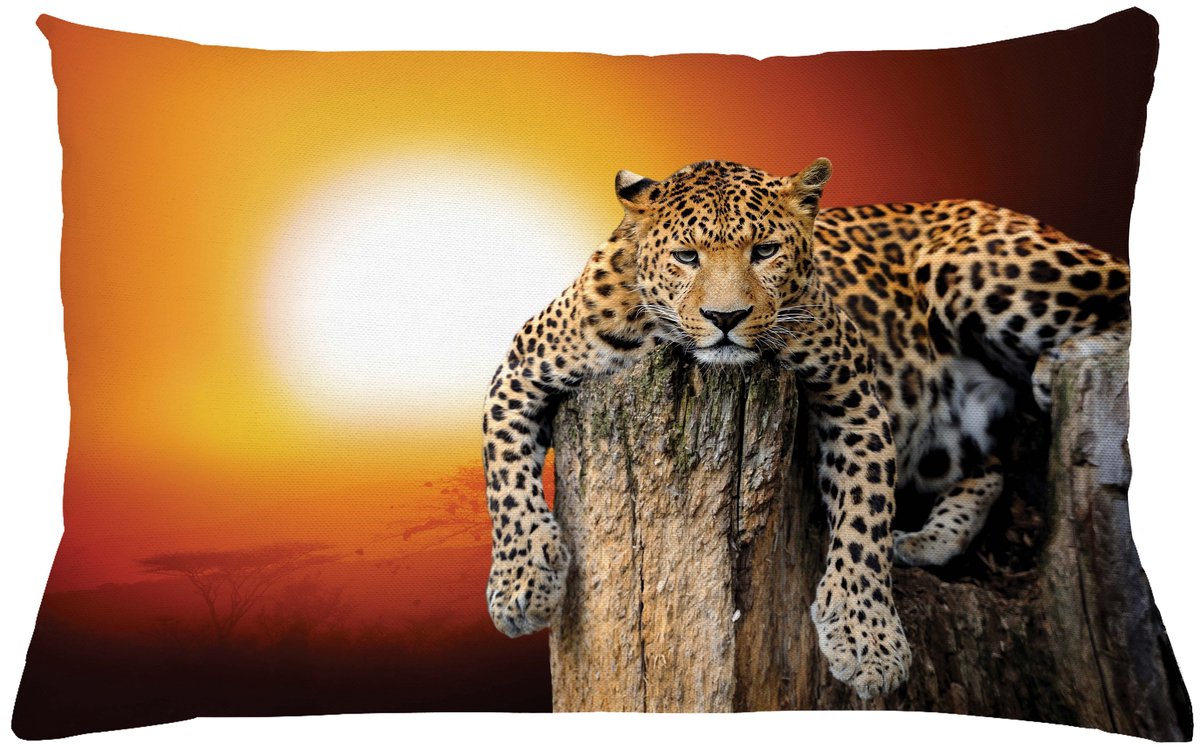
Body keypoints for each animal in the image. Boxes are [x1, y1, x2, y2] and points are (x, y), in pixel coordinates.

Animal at [480, 159, 1130, 700]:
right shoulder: (520, 369)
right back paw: (927, 538)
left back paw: (1059, 364)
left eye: (765, 250)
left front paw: (868, 642)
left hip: (974, 266)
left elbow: (865, 516)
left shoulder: (854, 391)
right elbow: (505, 479)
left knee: (1124, 297)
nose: (725, 318)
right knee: (989, 467)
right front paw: (522, 584)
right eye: (687, 256)